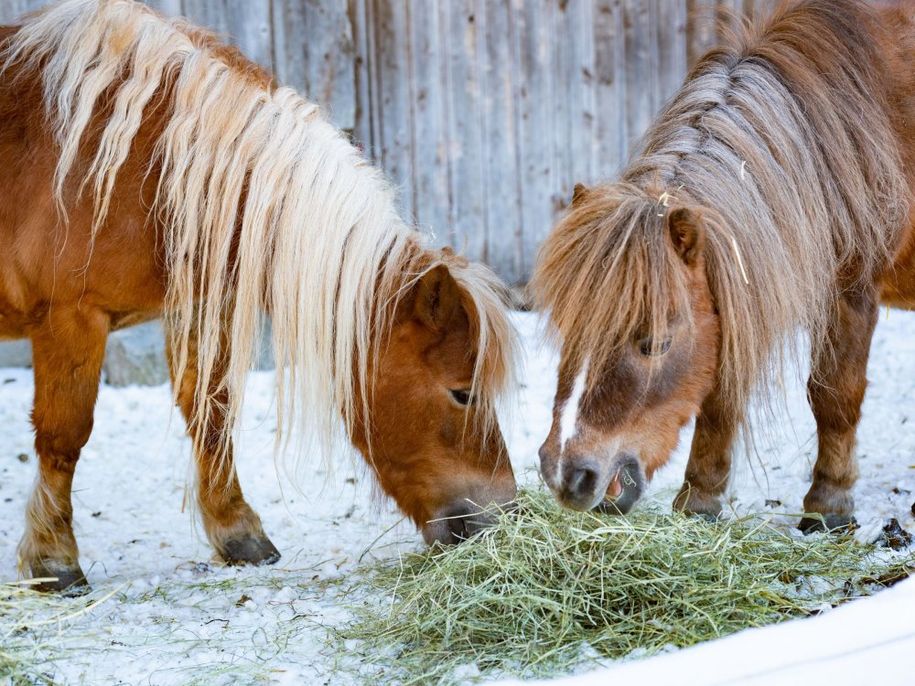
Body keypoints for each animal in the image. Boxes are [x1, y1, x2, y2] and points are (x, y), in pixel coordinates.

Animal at [0, 0, 516, 596]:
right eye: (462, 393)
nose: (505, 515)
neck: (136, 162)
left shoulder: (197, 308)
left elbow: (212, 415)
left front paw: (238, 533)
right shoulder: (72, 319)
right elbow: (64, 437)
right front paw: (54, 559)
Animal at [532, 0, 915, 532]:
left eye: (656, 343)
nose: (566, 473)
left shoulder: (853, 288)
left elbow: (835, 397)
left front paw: (829, 504)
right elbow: (720, 395)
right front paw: (700, 500)